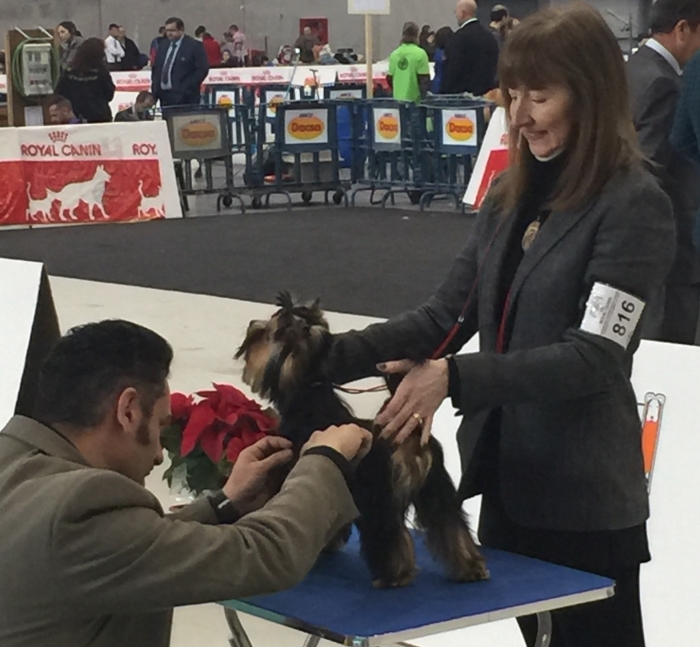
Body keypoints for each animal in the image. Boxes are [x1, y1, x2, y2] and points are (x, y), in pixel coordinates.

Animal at [235, 292, 488, 588]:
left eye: (265, 334)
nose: (252, 324)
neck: (309, 396)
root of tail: (408, 437)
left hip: (379, 495)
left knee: (389, 533)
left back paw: (394, 575)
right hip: (435, 488)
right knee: (450, 524)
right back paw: (471, 567)